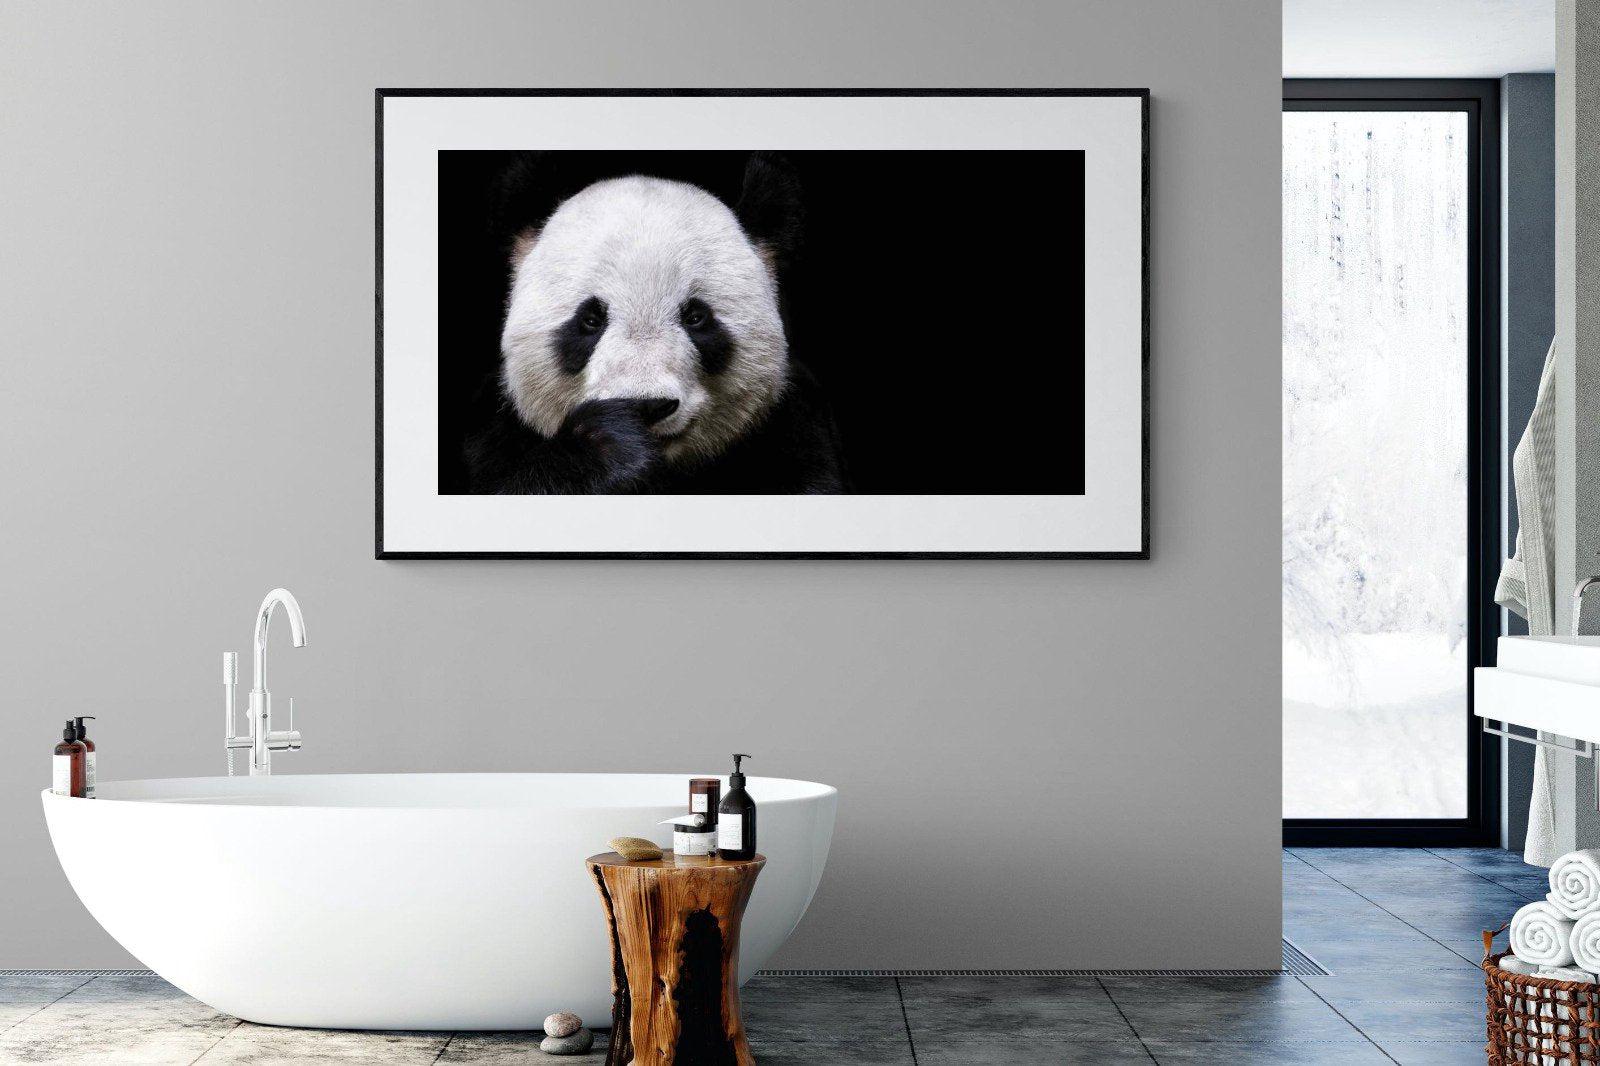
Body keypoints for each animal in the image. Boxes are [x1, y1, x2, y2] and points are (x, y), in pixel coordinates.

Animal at [463, 153, 848, 494]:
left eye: (696, 317)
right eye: (590, 320)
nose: (646, 406)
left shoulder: (795, 431)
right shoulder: (494, 434)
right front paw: (609, 444)